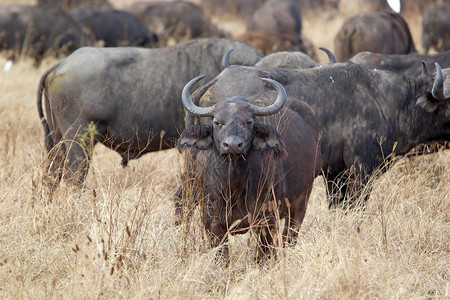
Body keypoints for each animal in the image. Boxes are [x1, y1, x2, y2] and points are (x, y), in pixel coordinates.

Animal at [178, 76, 322, 258]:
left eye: (248, 122)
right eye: (217, 122)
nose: (233, 145)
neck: (233, 185)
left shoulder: (266, 220)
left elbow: (262, 254)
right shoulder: (212, 223)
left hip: (300, 203)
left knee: (289, 237)